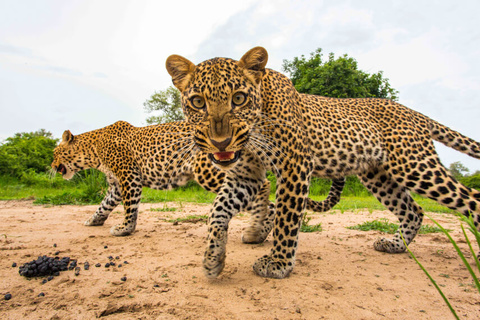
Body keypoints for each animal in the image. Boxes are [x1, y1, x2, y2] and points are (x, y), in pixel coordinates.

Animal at [52, 120, 342, 240]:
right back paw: (259, 232)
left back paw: (257, 230)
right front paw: (93, 220)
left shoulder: (129, 178)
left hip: (211, 172)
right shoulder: (115, 184)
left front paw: (124, 229)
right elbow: (104, 205)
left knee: (264, 188)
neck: (93, 150)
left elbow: (129, 208)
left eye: (55, 153)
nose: (53, 167)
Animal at [165, 46, 480, 278]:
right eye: (197, 102)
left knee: (470, 198)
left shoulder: (294, 164)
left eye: (239, 98)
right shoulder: (246, 175)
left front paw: (278, 263)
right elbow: (217, 211)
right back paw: (394, 244)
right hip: (379, 175)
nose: (220, 142)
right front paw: (213, 258)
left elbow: (286, 217)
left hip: (415, 165)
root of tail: (414, 113)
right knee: (413, 210)